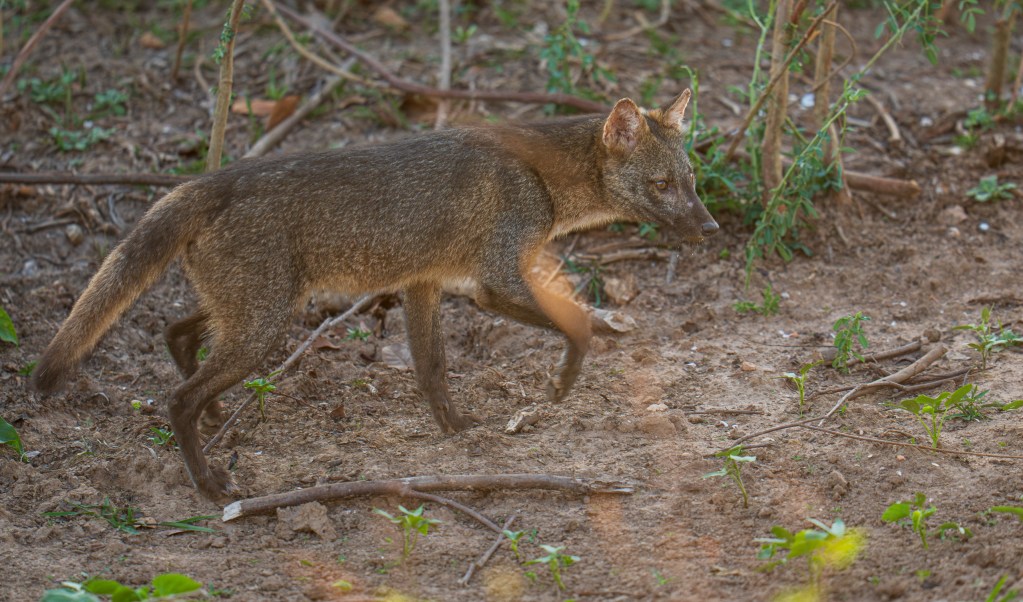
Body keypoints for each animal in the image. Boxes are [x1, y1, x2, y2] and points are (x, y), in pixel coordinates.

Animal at [33, 89, 718, 503]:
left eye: (691, 181)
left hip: (256, 311)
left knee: (175, 334)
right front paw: (562, 381)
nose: (710, 227)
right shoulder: (491, 284)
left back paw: (215, 418)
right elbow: (574, 324)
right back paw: (208, 481)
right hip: (265, 323)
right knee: (175, 396)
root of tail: (208, 180)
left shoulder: (425, 283)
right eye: (662, 186)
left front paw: (454, 427)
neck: (540, 179)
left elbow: (432, 368)